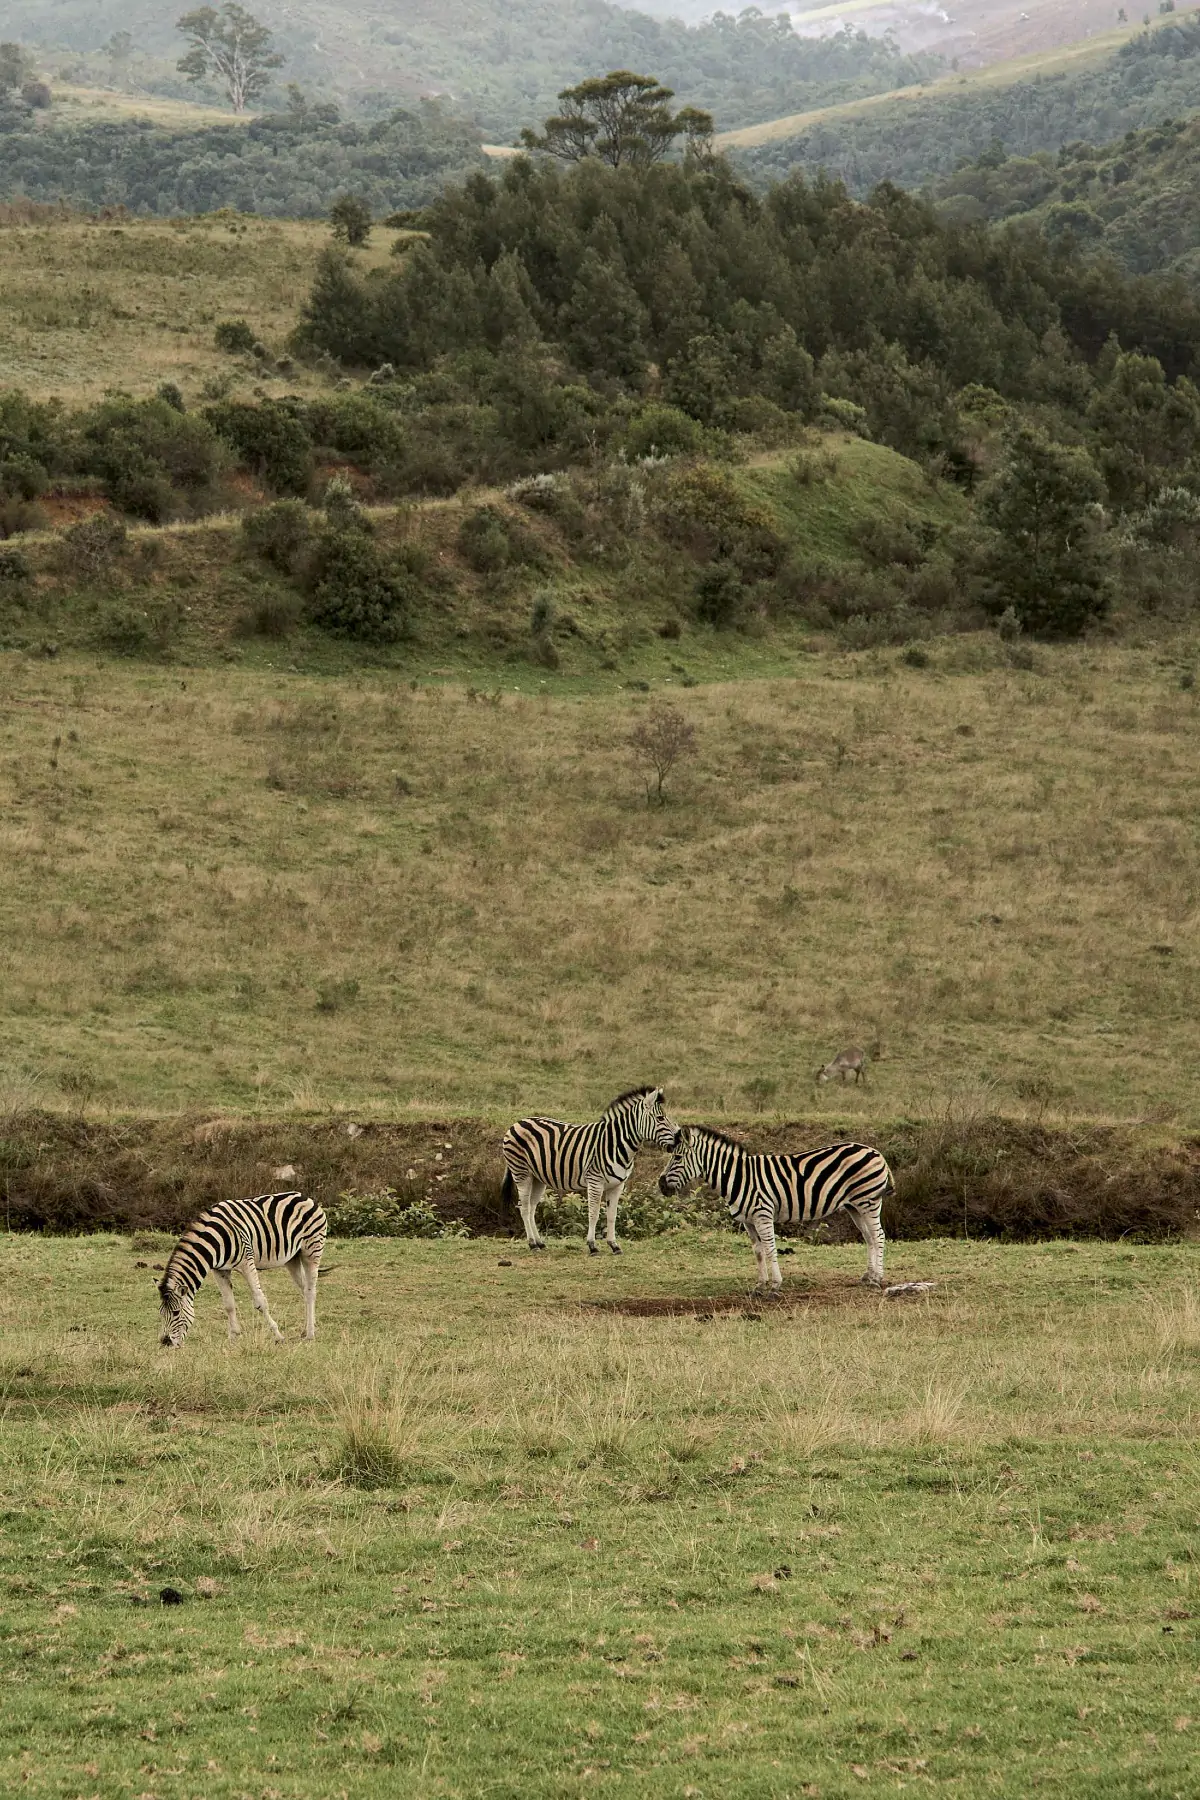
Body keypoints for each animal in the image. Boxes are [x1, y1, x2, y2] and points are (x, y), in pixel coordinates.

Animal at [159, 1188, 331, 1346]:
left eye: (176, 1313)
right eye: (161, 1313)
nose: (165, 1342)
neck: (214, 1241)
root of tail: (305, 1196)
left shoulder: (247, 1262)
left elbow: (260, 1302)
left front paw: (278, 1335)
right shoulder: (220, 1270)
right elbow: (228, 1304)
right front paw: (233, 1337)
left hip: (311, 1251)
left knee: (310, 1291)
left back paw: (310, 1335)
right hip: (292, 1258)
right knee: (304, 1289)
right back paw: (306, 1329)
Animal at [503, 1087, 680, 1260]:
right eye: (660, 1118)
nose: (679, 1138)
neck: (616, 1144)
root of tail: (518, 1122)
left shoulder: (617, 1185)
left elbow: (612, 1215)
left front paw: (614, 1245)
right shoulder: (595, 1181)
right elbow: (594, 1214)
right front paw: (592, 1246)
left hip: (538, 1178)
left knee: (532, 1207)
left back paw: (540, 1243)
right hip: (521, 1173)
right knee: (524, 1207)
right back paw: (532, 1244)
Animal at [658, 1123, 892, 1296]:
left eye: (677, 1158)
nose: (661, 1185)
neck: (738, 1177)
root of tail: (876, 1152)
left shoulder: (763, 1214)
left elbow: (770, 1249)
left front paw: (775, 1285)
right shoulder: (748, 1220)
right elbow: (758, 1252)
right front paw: (759, 1286)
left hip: (869, 1200)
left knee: (878, 1235)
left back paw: (877, 1279)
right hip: (855, 1205)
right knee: (869, 1236)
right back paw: (868, 1276)